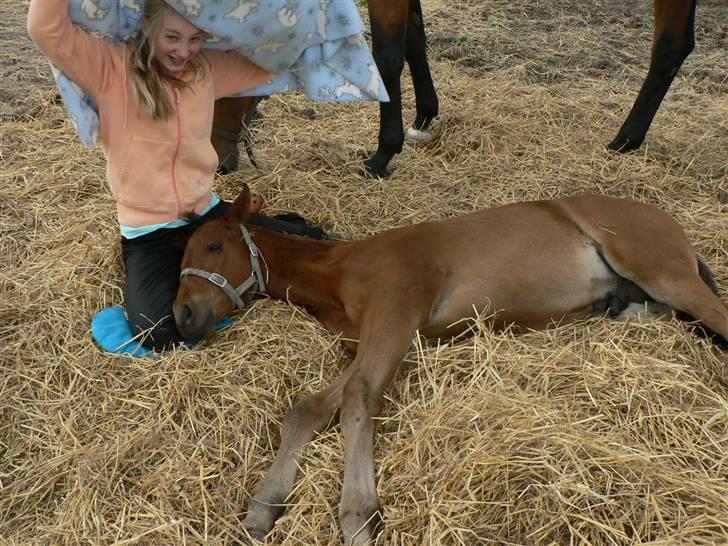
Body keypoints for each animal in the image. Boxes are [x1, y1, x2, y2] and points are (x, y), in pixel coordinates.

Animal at [173, 185, 724, 540]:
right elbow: (311, 407)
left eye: (215, 245)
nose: (183, 316)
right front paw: (264, 507)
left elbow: (358, 399)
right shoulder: (376, 338)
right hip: (646, 296)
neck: (342, 271)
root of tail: (670, 223)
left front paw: (358, 515)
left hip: (662, 270)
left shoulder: (396, 317)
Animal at [213, 0, 704, 174]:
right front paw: (425, 113)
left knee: (669, 45)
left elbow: (387, 57)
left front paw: (384, 152)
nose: (221, 164)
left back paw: (625, 138)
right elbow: (413, 36)